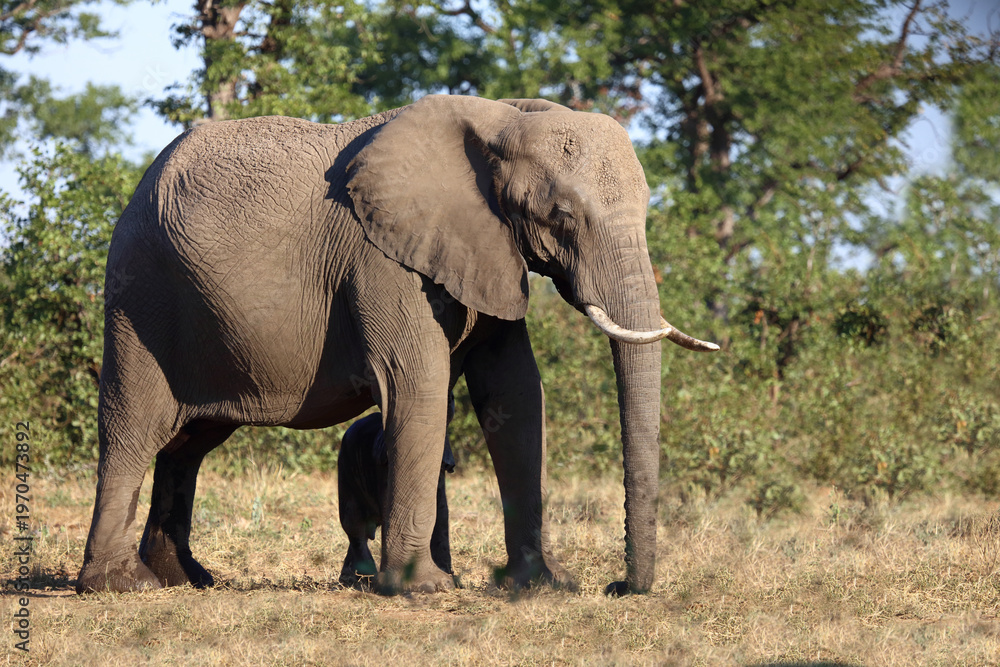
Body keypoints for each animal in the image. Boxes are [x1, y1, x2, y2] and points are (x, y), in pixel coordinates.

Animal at [338, 402, 456, 588]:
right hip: (346, 469)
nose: (450, 464)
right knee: (353, 523)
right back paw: (366, 578)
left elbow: (442, 512)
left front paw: (448, 576)